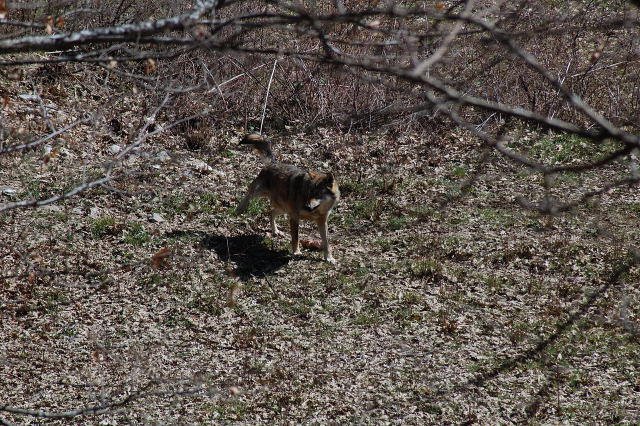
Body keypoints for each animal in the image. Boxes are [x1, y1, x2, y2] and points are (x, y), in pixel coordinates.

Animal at [235, 133, 340, 262]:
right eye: (309, 193)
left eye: (318, 194)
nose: (307, 205)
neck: (316, 211)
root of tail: (273, 162)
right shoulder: (294, 217)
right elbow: (296, 237)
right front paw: (296, 252)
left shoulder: (322, 222)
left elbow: (326, 242)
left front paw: (329, 258)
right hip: (260, 192)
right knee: (249, 193)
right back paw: (240, 209)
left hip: (283, 208)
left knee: (271, 213)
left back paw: (275, 231)